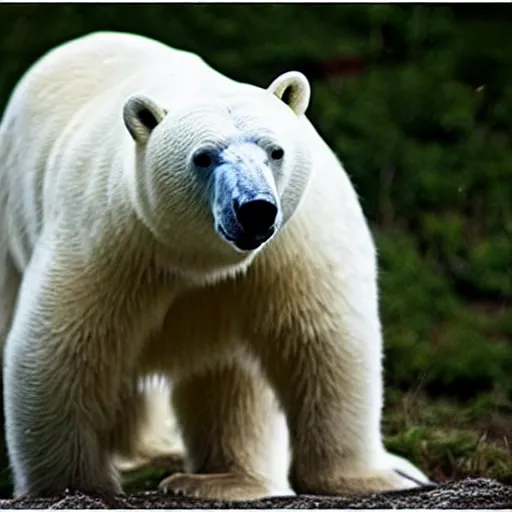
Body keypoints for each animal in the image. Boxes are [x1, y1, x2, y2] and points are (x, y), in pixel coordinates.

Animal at [0, 30, 430, 498]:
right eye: (203, 156)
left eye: (275, 151)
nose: (255, 210)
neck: (204, 259)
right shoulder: (113, 238)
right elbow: (64, 348)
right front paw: (74, 486)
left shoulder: (294, 244)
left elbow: (324, 339)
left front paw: (376, 477)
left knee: (228, 378)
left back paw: (220, 479)